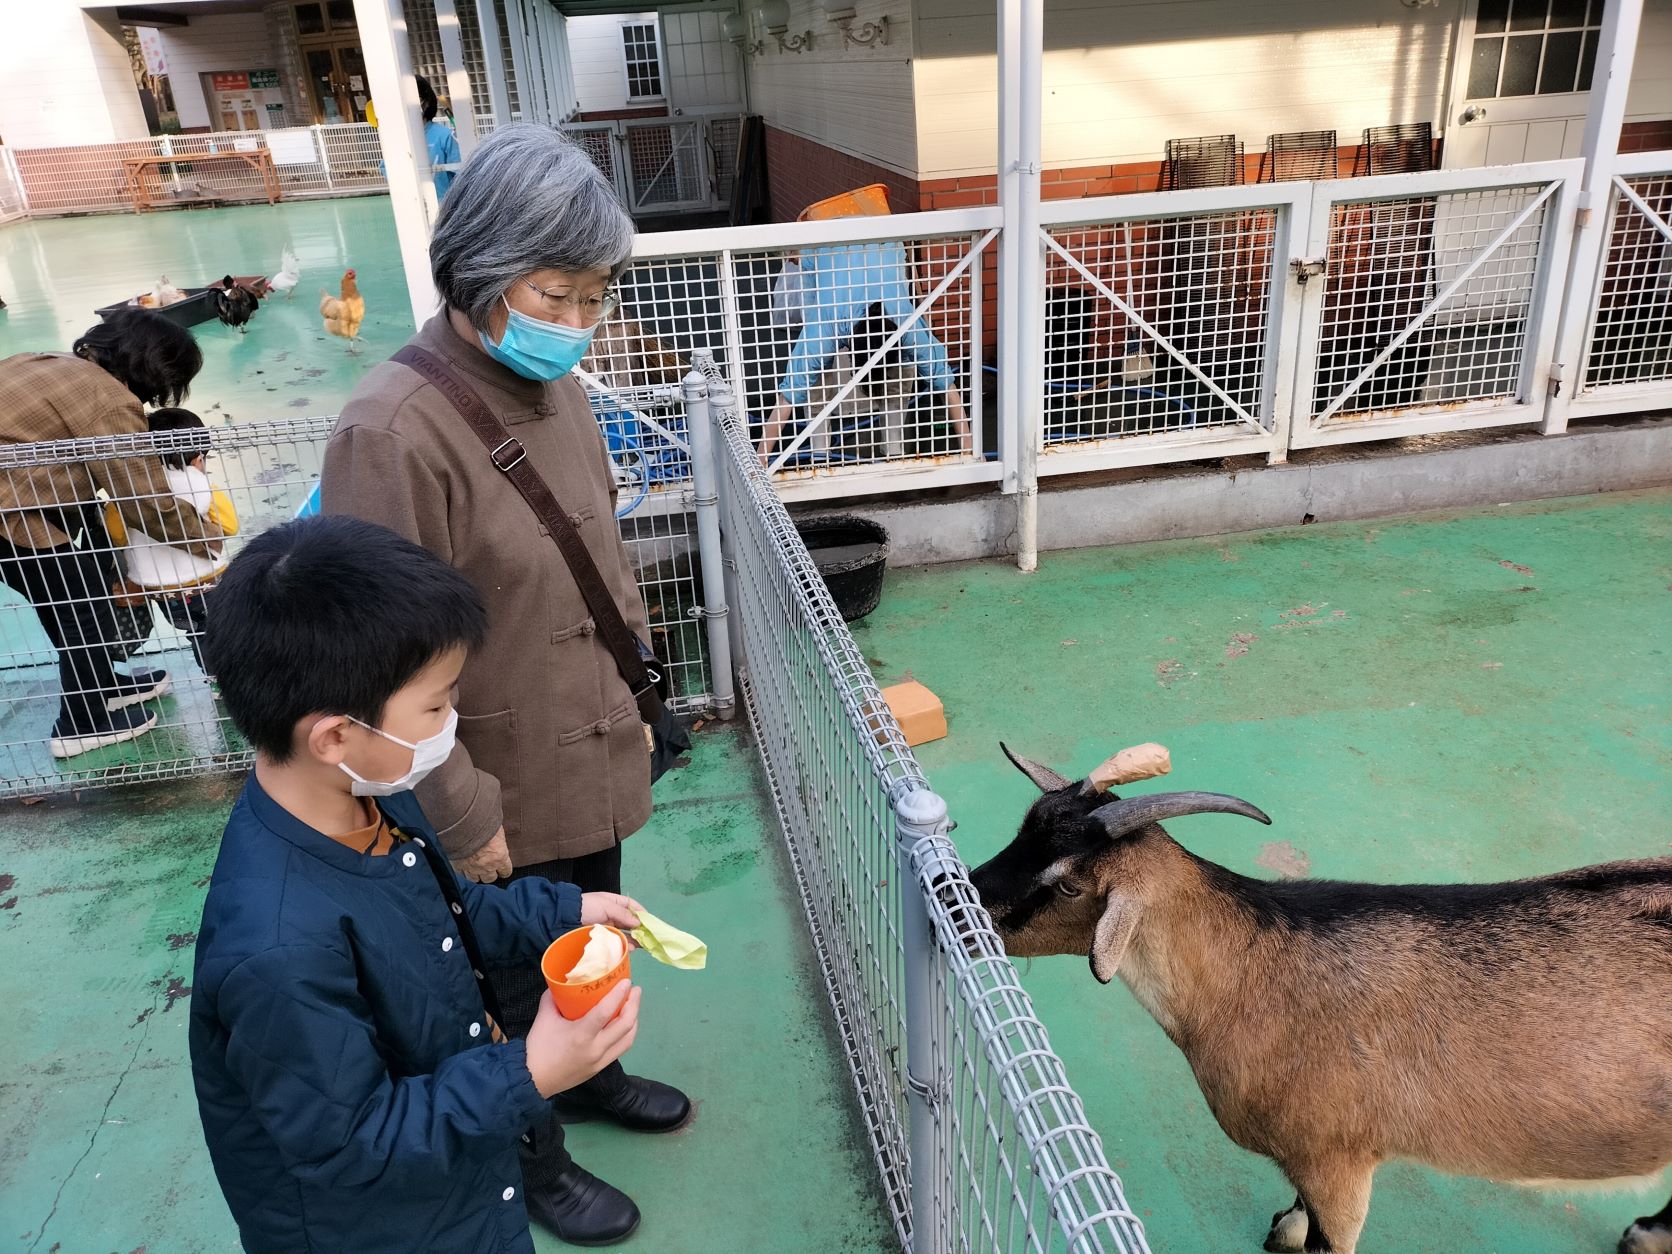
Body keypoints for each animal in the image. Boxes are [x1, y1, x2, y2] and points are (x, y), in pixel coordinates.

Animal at [969, 745, 1672, 1254]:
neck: (1255, 977)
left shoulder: (1340, 1162)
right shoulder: (1309, 1162)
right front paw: (1284, 1227)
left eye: (1069, 887)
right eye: (1023, 828)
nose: (958, 899)